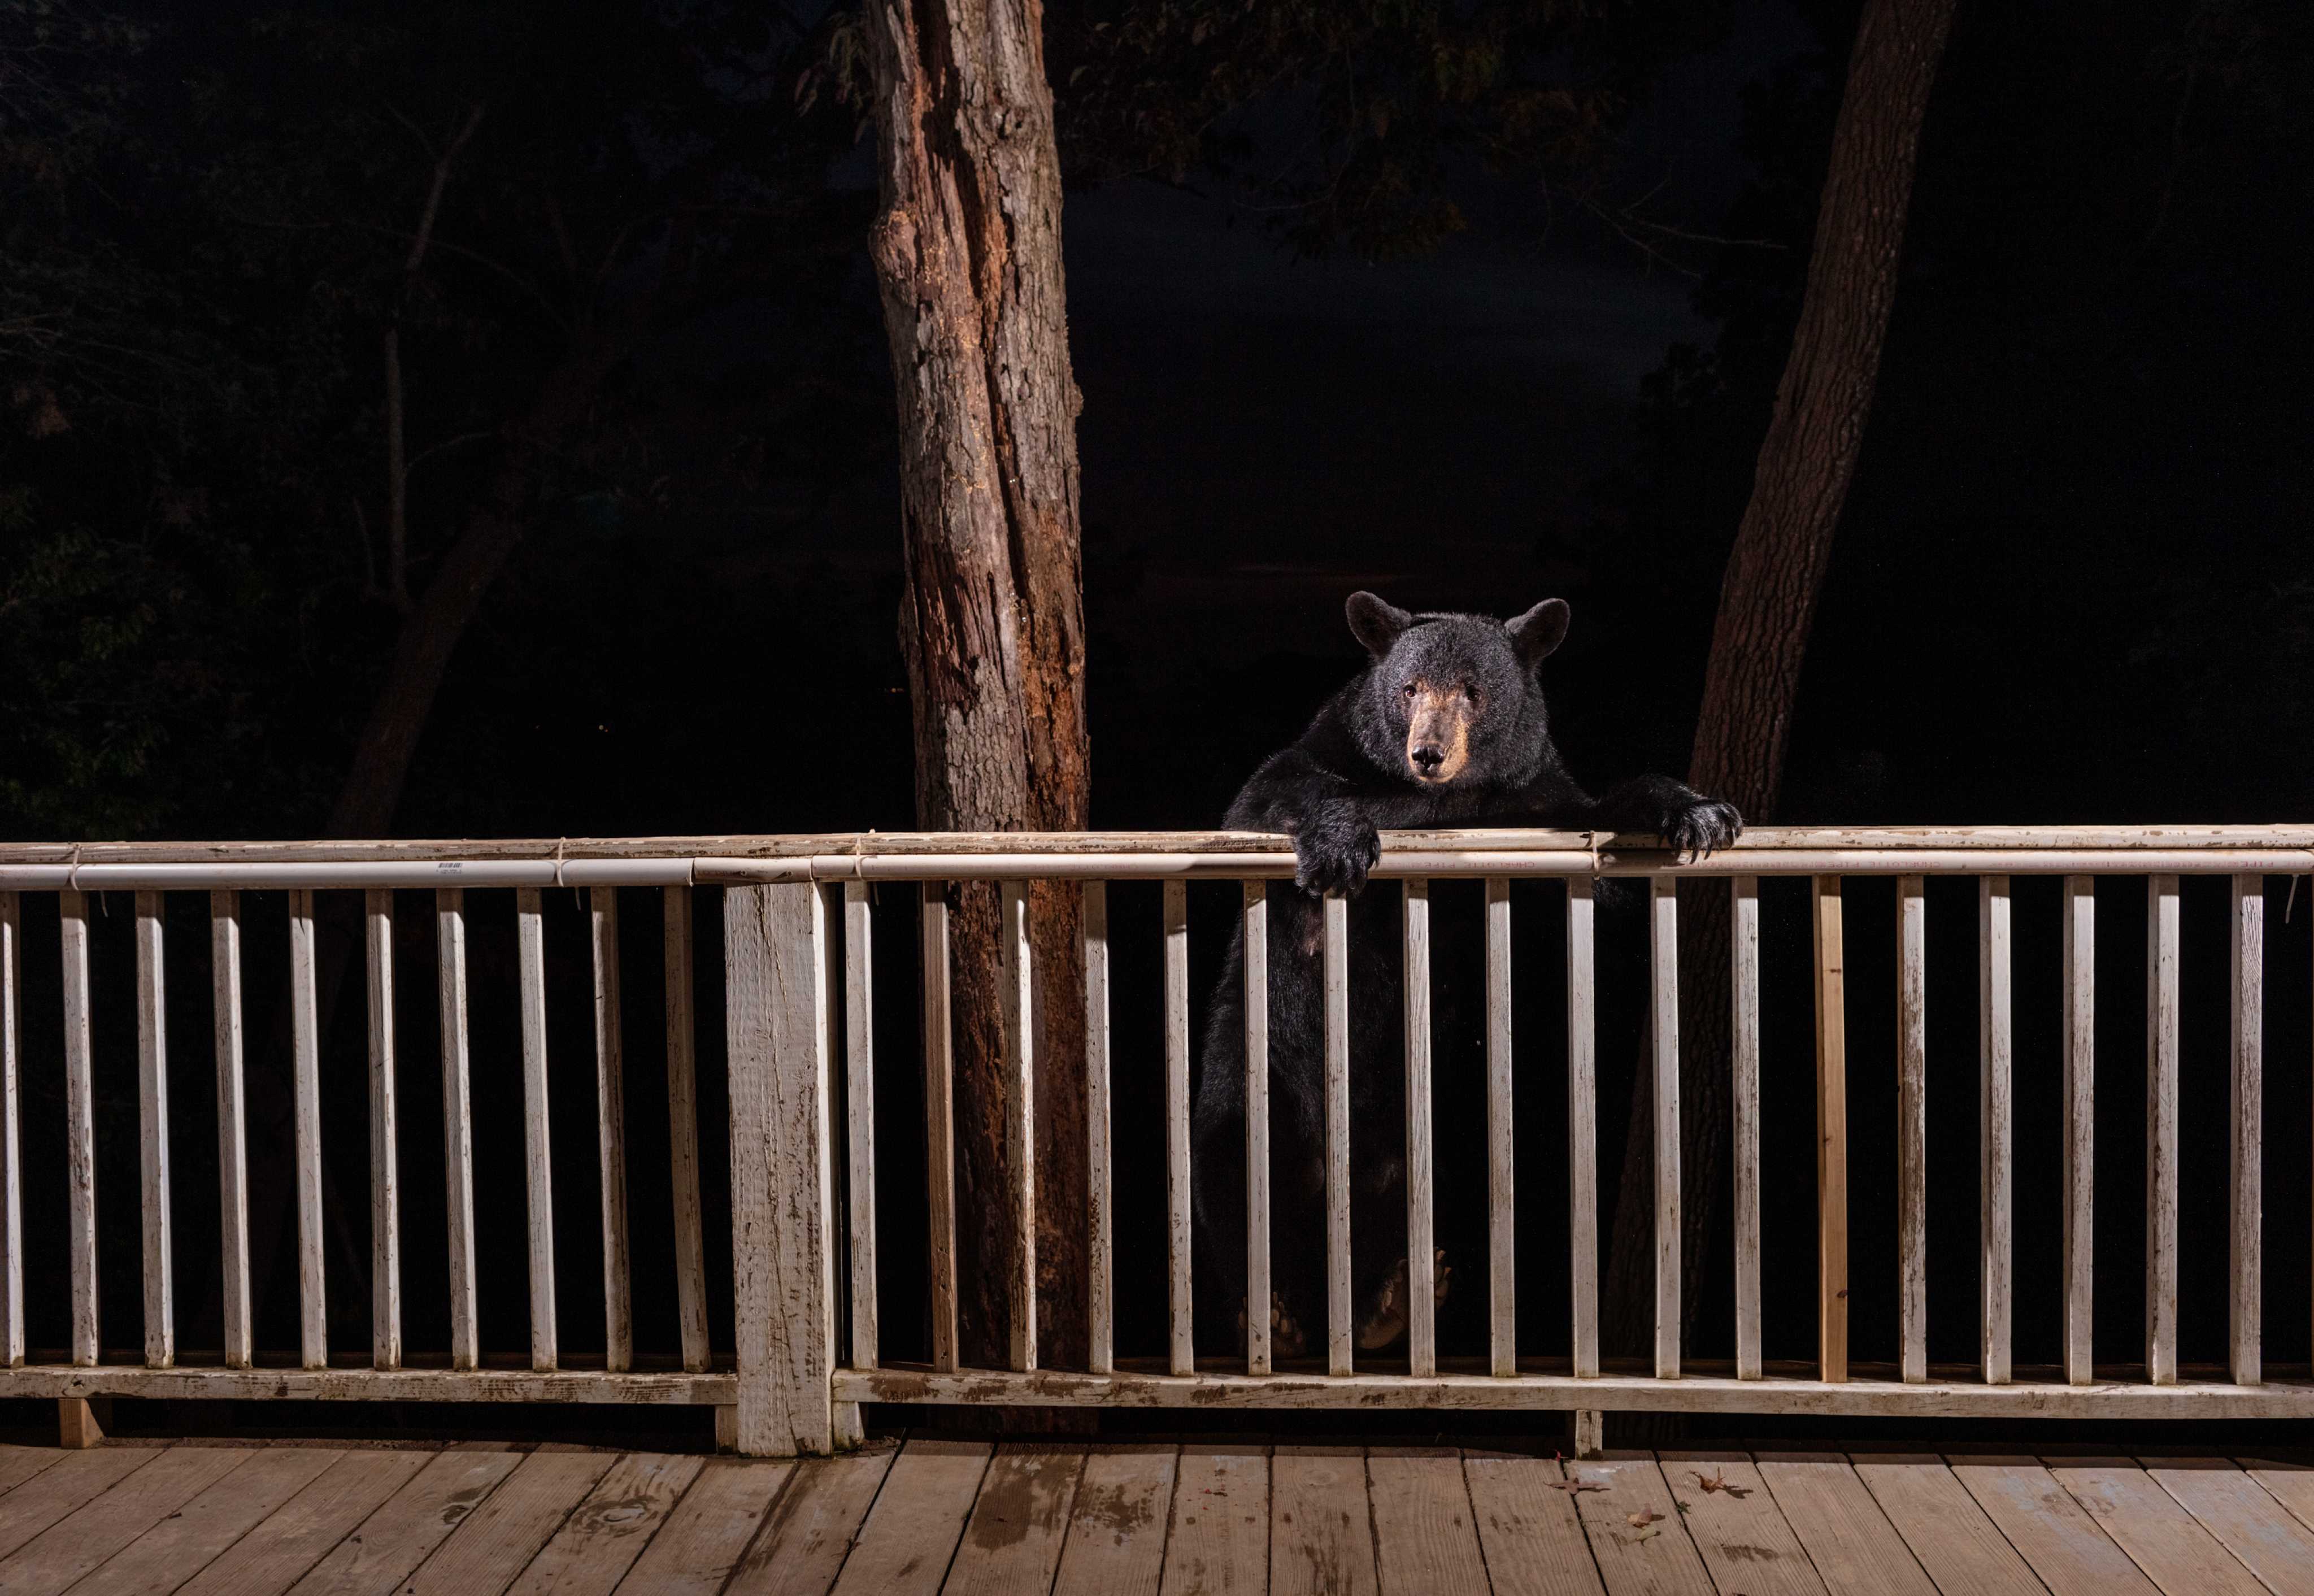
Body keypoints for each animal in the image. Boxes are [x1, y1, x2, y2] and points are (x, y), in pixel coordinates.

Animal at [1190, 590, 1741, 1360]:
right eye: (1409, 687)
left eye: (1474, 692)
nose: (1427, 754)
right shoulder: (1329, 745)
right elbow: (1268, 794)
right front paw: (1341, 842)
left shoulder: (1540, 794)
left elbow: (1600, 856)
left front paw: (1698, 809)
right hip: (1248, 1066)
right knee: (1232, 1168)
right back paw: (1273, 1311)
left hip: (1442, 1127)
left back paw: (1393, 1298)